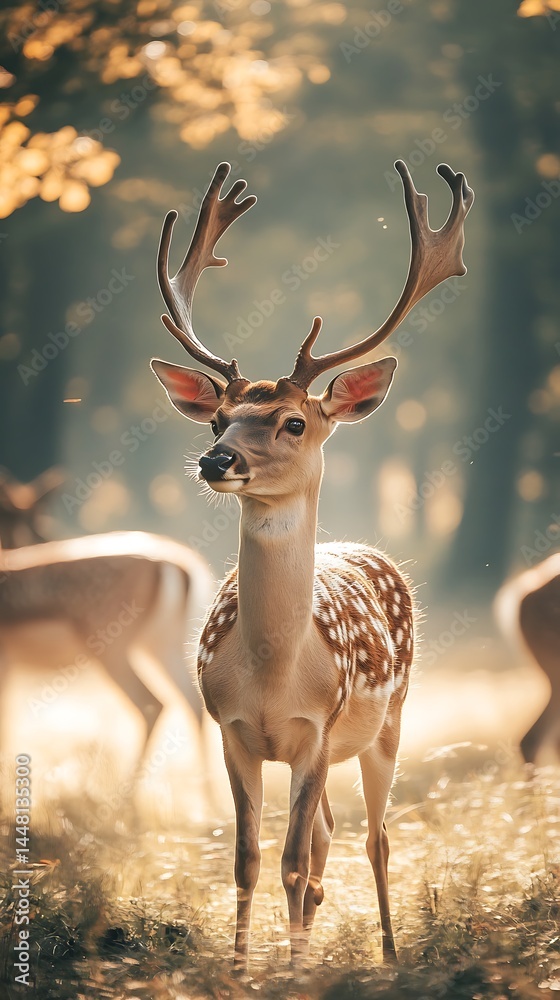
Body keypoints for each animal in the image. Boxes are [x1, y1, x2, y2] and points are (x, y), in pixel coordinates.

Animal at [150, 159, 474, 967]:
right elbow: (249, 858)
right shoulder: (231, 730)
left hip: (391, 718)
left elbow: (293, 858)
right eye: (217, 418)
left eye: (293, 422)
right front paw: (242, 969)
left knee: (374, 837)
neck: (274, 676)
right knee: (328, 838)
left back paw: (389, 954)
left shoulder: (317, 732)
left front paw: (291, 970)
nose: (215, 460)